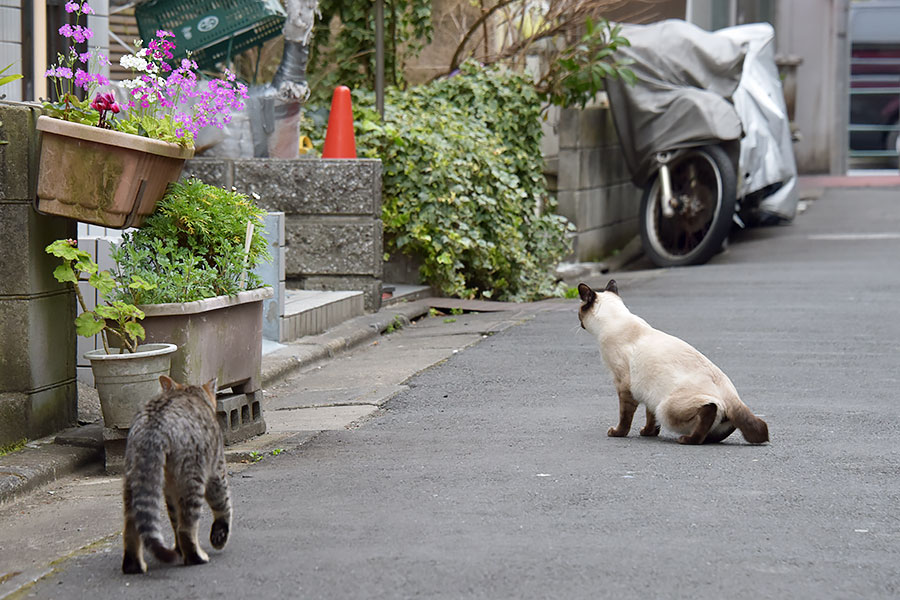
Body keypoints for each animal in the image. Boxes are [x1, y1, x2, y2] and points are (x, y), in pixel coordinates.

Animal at [120, 378, 230, 576]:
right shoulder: (217, 472)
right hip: (193, 479)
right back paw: (196, 558)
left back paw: (134, 566)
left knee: (131, 530)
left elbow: (174, 520)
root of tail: (154, 427)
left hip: (134, 482)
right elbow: (223, 505)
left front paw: (179, 549)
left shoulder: (169, 492)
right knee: (186, 528)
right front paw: (220, 536)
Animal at [580, 282, 768, 446]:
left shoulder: (624, 386)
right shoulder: (649, 391)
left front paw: (617, 433)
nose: (580, 324)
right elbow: (650, 417)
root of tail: (732, 396)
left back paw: (687, 440)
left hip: (666, 408)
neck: (615, 320)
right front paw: (648, 433)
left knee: (709, 410)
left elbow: (625, 418)